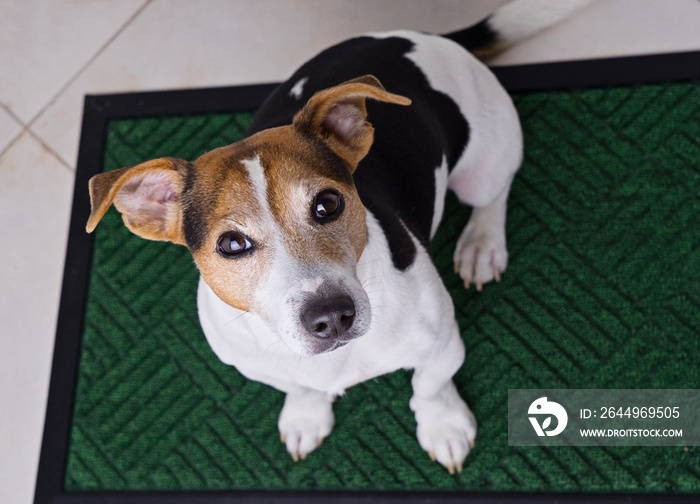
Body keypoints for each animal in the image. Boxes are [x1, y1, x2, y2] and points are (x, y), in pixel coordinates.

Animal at [85, 0, 592, 472]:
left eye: (327, 204)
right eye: (231, 244)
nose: (330, 316)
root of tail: (421, 36)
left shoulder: (442, 342)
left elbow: (429, 387)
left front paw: (443, 426)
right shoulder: (257, 364)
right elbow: (299, 386)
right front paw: (305, 416)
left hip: (485, 162)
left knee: (493, 194)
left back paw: (482, 245)